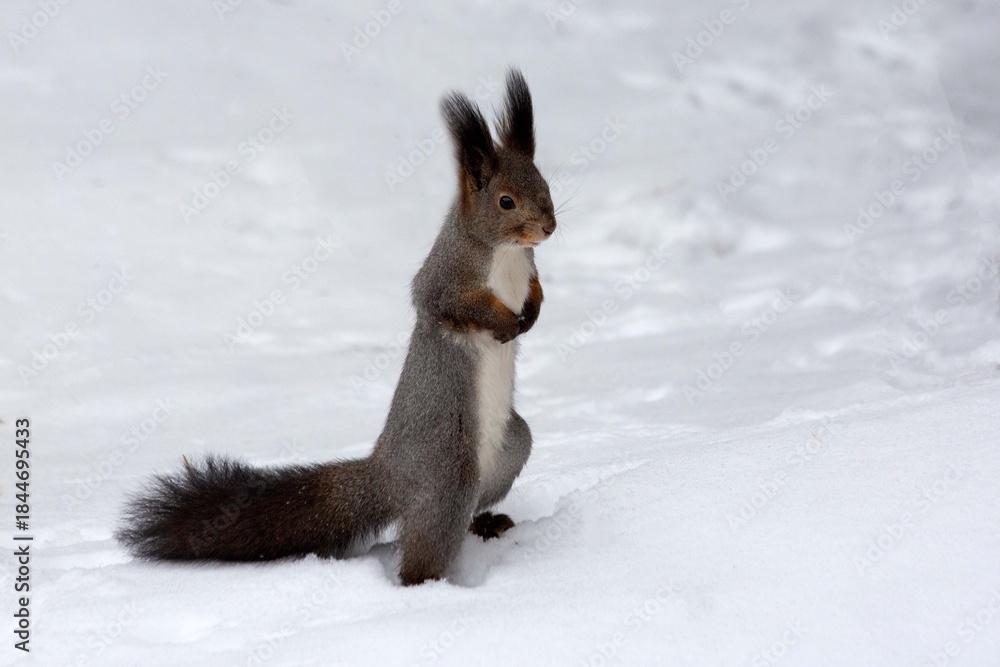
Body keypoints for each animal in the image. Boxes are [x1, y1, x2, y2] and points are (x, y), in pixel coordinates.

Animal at [117, 69, 557, 586]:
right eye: (506, 201)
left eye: (545, 184)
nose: (549, 227)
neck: (505, 253)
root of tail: (388, 475)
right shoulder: (444, 278)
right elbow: (446, 304)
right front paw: (505, 321)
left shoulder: (526, 269)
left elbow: (536, 288)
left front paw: (533, 310)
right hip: (448, 474)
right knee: (421, 550)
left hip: (512, 448)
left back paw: (487, 523)